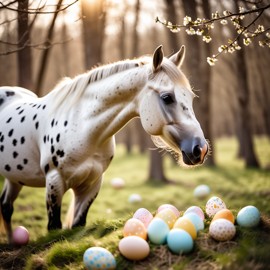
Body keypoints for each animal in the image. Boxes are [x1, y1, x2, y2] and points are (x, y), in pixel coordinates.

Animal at [0, 44, 209, 243]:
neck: (82, 128)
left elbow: (78, 224)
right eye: (167, 97)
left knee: (6, 206)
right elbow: (54, 227)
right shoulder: (54, 181)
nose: (201, 149)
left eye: (191, 97)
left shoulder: (92, 183)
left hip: (14, 177)